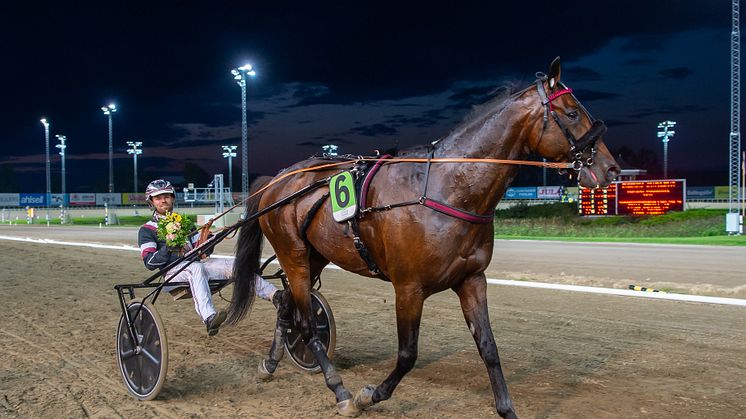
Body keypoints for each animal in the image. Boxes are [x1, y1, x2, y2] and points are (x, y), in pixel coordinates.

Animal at [225, 58, 616, 419]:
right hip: (292, 253)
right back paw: (339, 391)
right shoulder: (409, 287)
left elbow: (488, 347)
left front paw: (507, 409)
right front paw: (368, 395)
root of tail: (277, 180)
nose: (610, 169)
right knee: (305, 323)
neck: (448, 188)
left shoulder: (472, 279)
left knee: (285, 305)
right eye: (571, 113)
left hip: (313, 255)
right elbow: (408, 354)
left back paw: (270, 364)